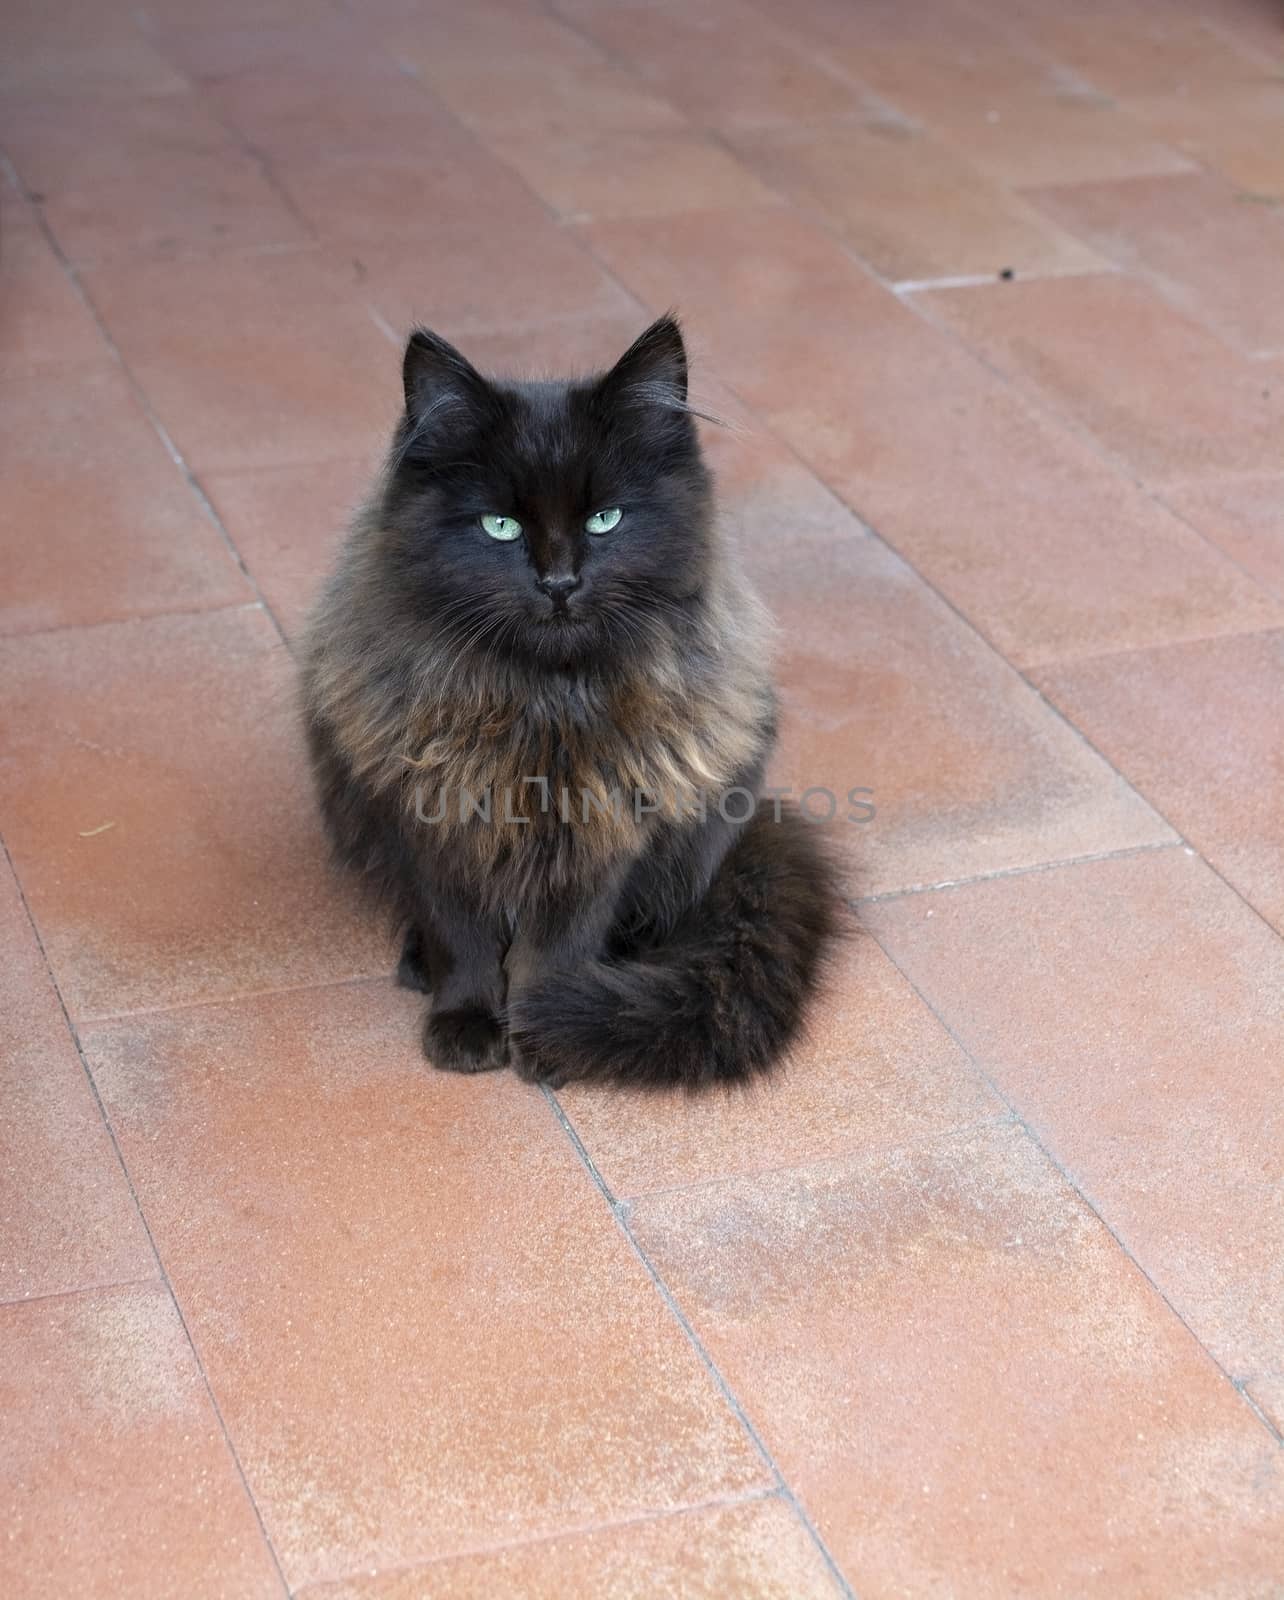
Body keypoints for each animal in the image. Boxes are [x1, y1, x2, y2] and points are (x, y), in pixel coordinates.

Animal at [300, 312, 838, 1088]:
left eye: (604, 520)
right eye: (499, 526)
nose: (558, 583)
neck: (541, 702)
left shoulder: (601, 835)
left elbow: (553, 951)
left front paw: (542, 1034)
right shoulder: (434, 820)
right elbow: (461, 938)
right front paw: (467, 1021)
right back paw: (417, 964)